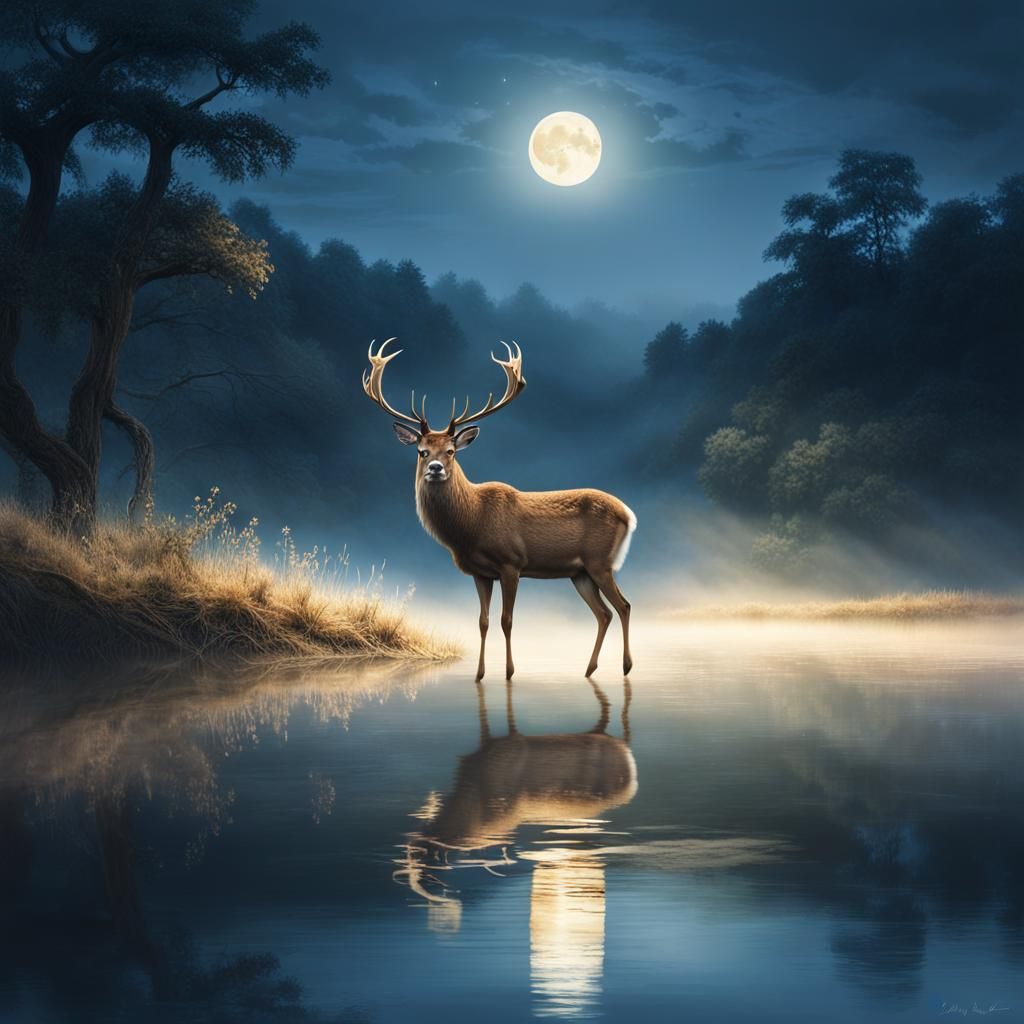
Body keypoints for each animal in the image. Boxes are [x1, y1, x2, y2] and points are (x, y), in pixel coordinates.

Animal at [362, 338, 636, 680]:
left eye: (451, 451)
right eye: (421, 451)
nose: (436, 468)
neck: (471, 525)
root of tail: (629, 514)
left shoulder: (511, 562)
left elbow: (507, 621)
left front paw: (509, 672)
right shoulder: (481, 573)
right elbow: (483, 622)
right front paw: (479, 674)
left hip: (600, 562)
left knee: (623, 606)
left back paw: (625, 666)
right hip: (580, 573)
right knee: (604, 613)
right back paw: (589, 668)